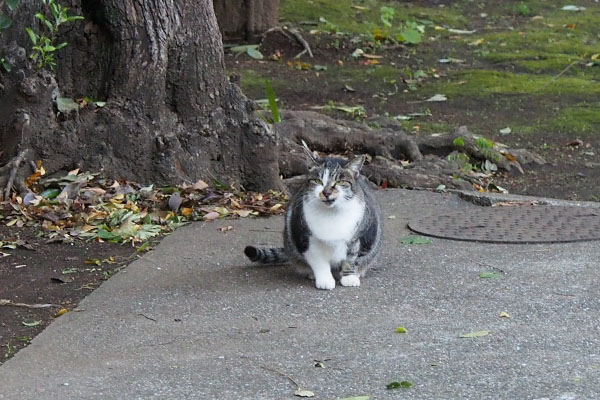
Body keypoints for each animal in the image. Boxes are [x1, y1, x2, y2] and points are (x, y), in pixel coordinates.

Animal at [246, 144, 382, 290]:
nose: (326, 192)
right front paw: (324, 280)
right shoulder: (306, 238)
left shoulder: (359, 238)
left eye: (340, 182)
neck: (331, 214)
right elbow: (319, 262)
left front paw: (349, 277)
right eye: (318, 181)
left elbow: (351, 259)